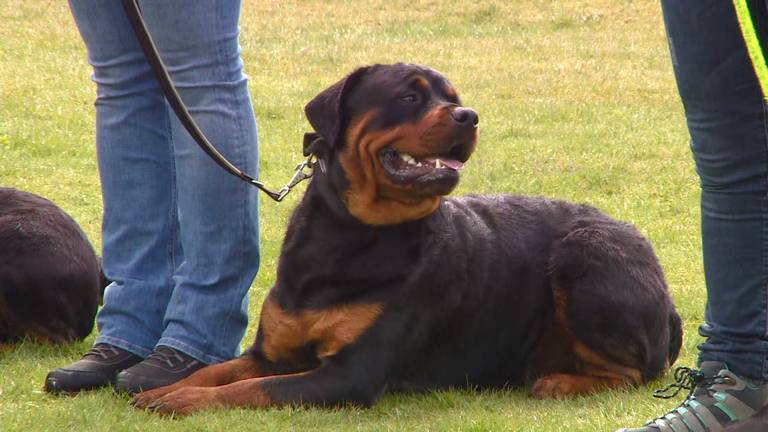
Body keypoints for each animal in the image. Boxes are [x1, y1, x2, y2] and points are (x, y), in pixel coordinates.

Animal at [132, 63, 684, 416]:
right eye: (410, 96)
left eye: (454, 100)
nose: (468, 116)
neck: (351, 235)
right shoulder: (271, 353)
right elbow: (220, 372)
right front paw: (170, 385)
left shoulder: (348, 374)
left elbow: (254, 390)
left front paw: (183, 400)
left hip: (586, 254)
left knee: (638, 373)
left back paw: (560, 380)